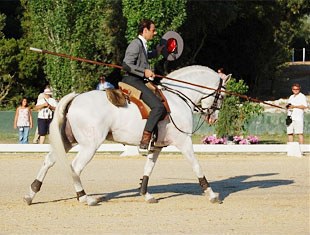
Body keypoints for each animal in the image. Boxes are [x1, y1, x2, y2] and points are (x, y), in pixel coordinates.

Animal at [24, 65, 229, 205]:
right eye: (221, 96)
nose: (214, 118)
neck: (178, 98)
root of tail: (75, 99)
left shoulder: (156, 146)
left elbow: (148, 169)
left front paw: (146, 195)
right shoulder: (184, 141)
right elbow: (197, 166)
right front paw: (212, 194)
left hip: (68, 141)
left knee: (49, 161)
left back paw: (31, 194)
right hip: (90, 145)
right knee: (75, 167)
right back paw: (85, 198)